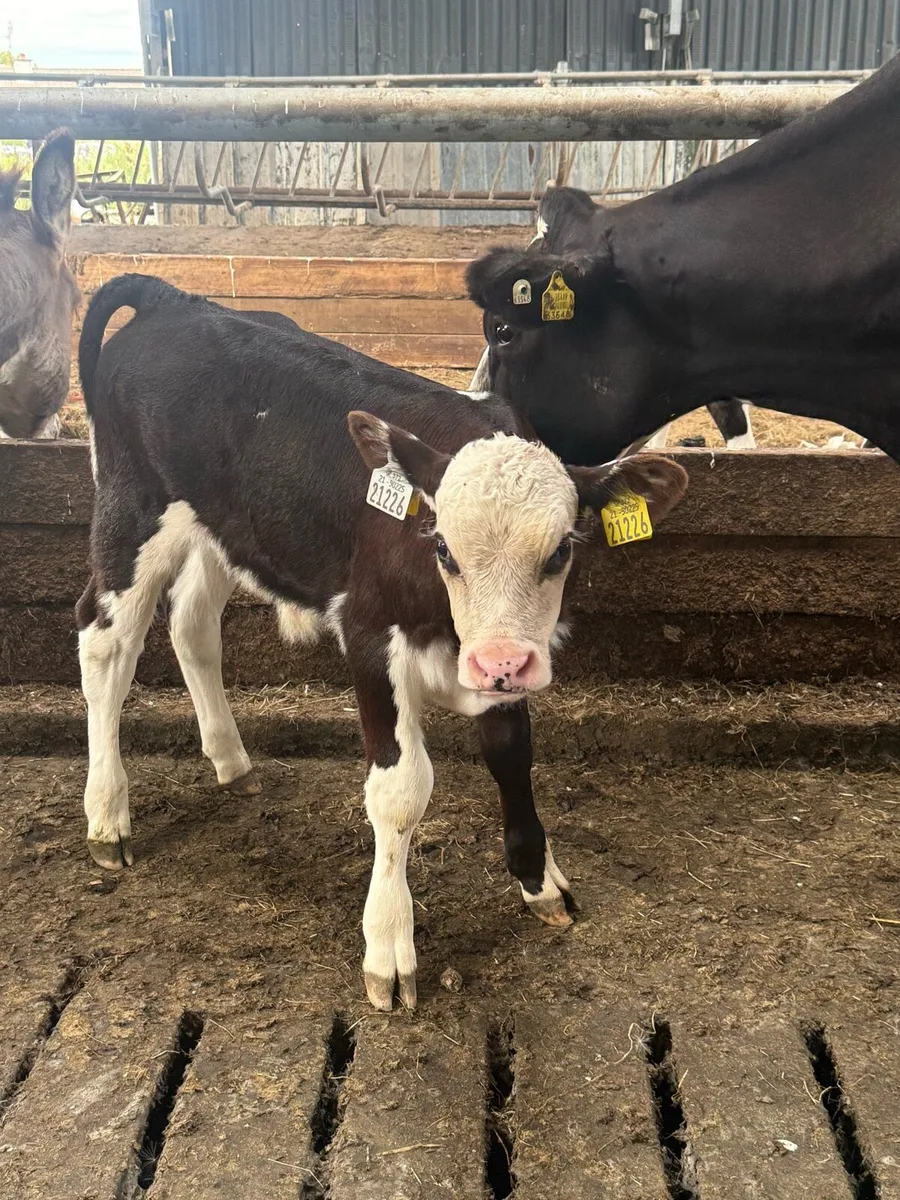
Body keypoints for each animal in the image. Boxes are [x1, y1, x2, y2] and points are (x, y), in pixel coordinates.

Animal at [75, 273, 688, 1010]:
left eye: (563, 549)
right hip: (131, 511)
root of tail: (172, 301)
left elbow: (512, 755)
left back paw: (231, 759)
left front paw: (539, 879)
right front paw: (390, 945)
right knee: (105, 644)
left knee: (192, 623)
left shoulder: (504, 658)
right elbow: (400, 791)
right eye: (442, 546)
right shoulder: (369, 635)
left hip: (226, 528)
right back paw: (107, 815)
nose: (500, 661)